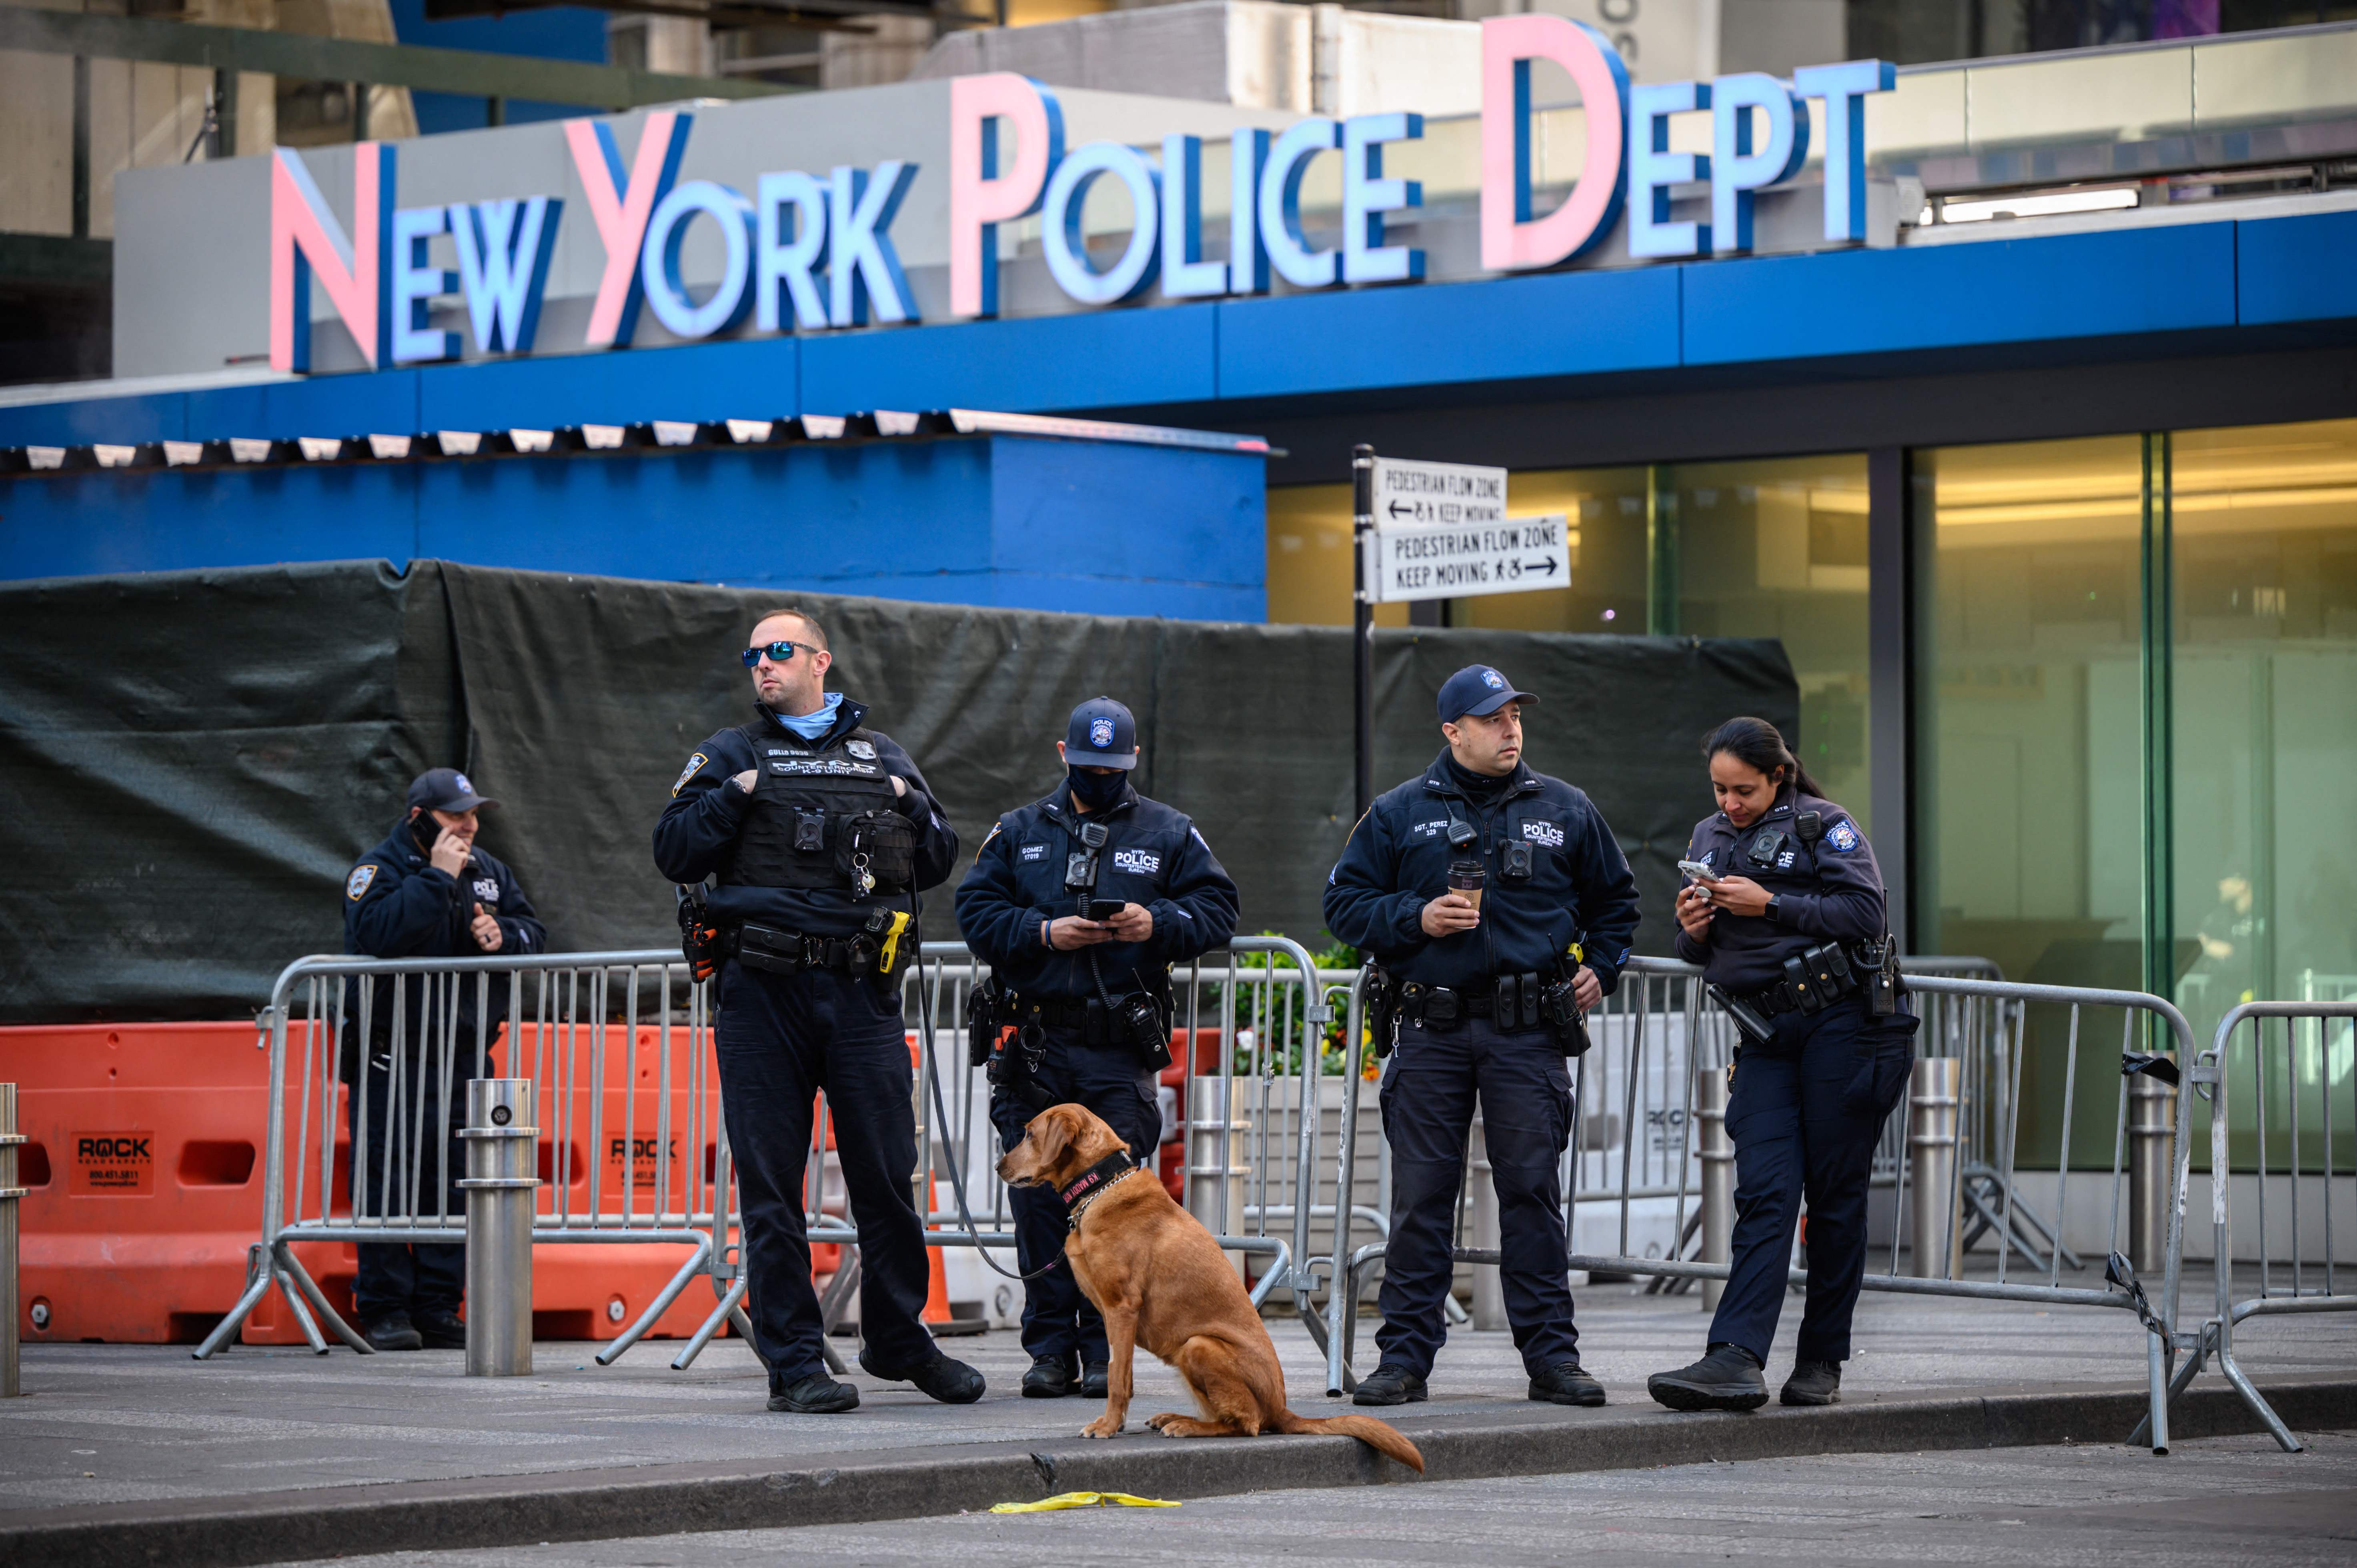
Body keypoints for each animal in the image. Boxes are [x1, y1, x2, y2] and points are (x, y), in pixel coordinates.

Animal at [995, 1098, 1414, 1471]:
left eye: (1029, 1134)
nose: (998, 1166)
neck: (1101, 1184)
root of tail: (1282, 1408)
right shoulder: (1117, 1318)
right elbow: (1124, 1376)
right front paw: (1118, 1423)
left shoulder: (1121, 1308)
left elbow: (1115, 1377)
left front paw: (1107, 1426)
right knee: (1229, 1417)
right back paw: (1174, 1418)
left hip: (1198, 1346)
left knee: (1246, 1424)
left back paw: (1186, 1426)